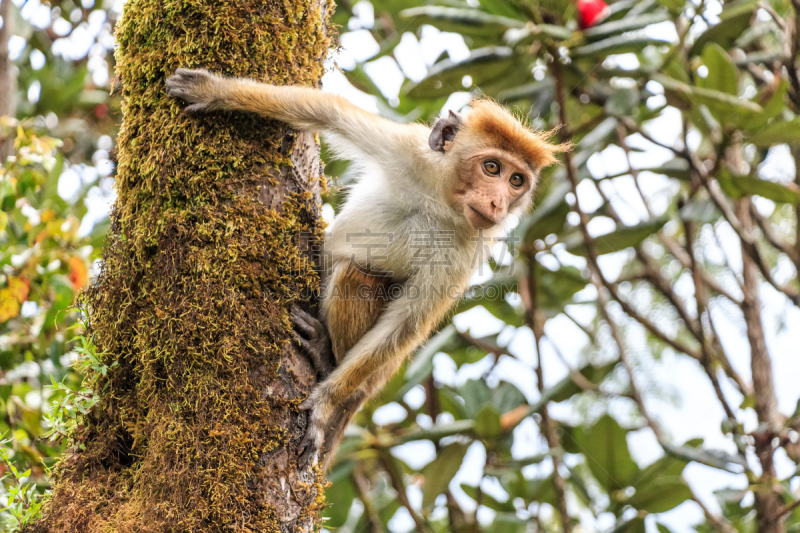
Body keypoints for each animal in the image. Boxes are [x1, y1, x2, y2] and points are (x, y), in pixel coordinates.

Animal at [166, 68, 564, 468]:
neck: (440, 202)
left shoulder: (469, 249)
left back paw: (326, 357)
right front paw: (216, 91)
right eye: (492, 167)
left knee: (360, 276)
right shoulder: (406, 149)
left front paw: (324, 406)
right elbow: (323, 111)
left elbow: (405, 324)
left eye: (516, 180)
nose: (498, 203)